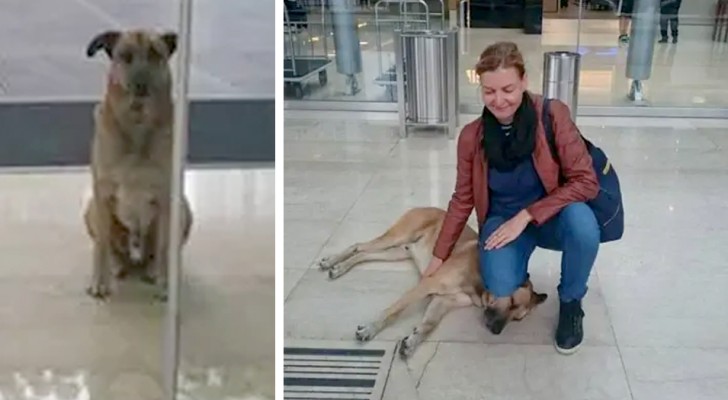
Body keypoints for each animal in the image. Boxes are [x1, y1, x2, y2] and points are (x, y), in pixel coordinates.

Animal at [85, 29, 179, 300]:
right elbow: (101, 245)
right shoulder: (102, 194)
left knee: (158, 252)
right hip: (92, 210)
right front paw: (100, 281)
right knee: (109, 246)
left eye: (155, 54)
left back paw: (153, 269)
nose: (140, 84)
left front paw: (165, 284)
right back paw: (116, 266)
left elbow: (165, 246)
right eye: (124, 56)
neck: (137, 123)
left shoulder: (167, 200)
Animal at [318, 208, 544, 358]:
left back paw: (340, 267)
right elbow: (393, 311)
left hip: (398, 252)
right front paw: (370, 328)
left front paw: (413, 340)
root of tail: (427, 207)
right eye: (512, 302)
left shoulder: (443, 300)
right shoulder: (427, 284)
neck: (480, 282)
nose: (496, 331)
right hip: (397, 237)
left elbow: (429, 324)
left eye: (517, 319)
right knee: (359, 246)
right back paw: (332, 262)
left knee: (364, 255)